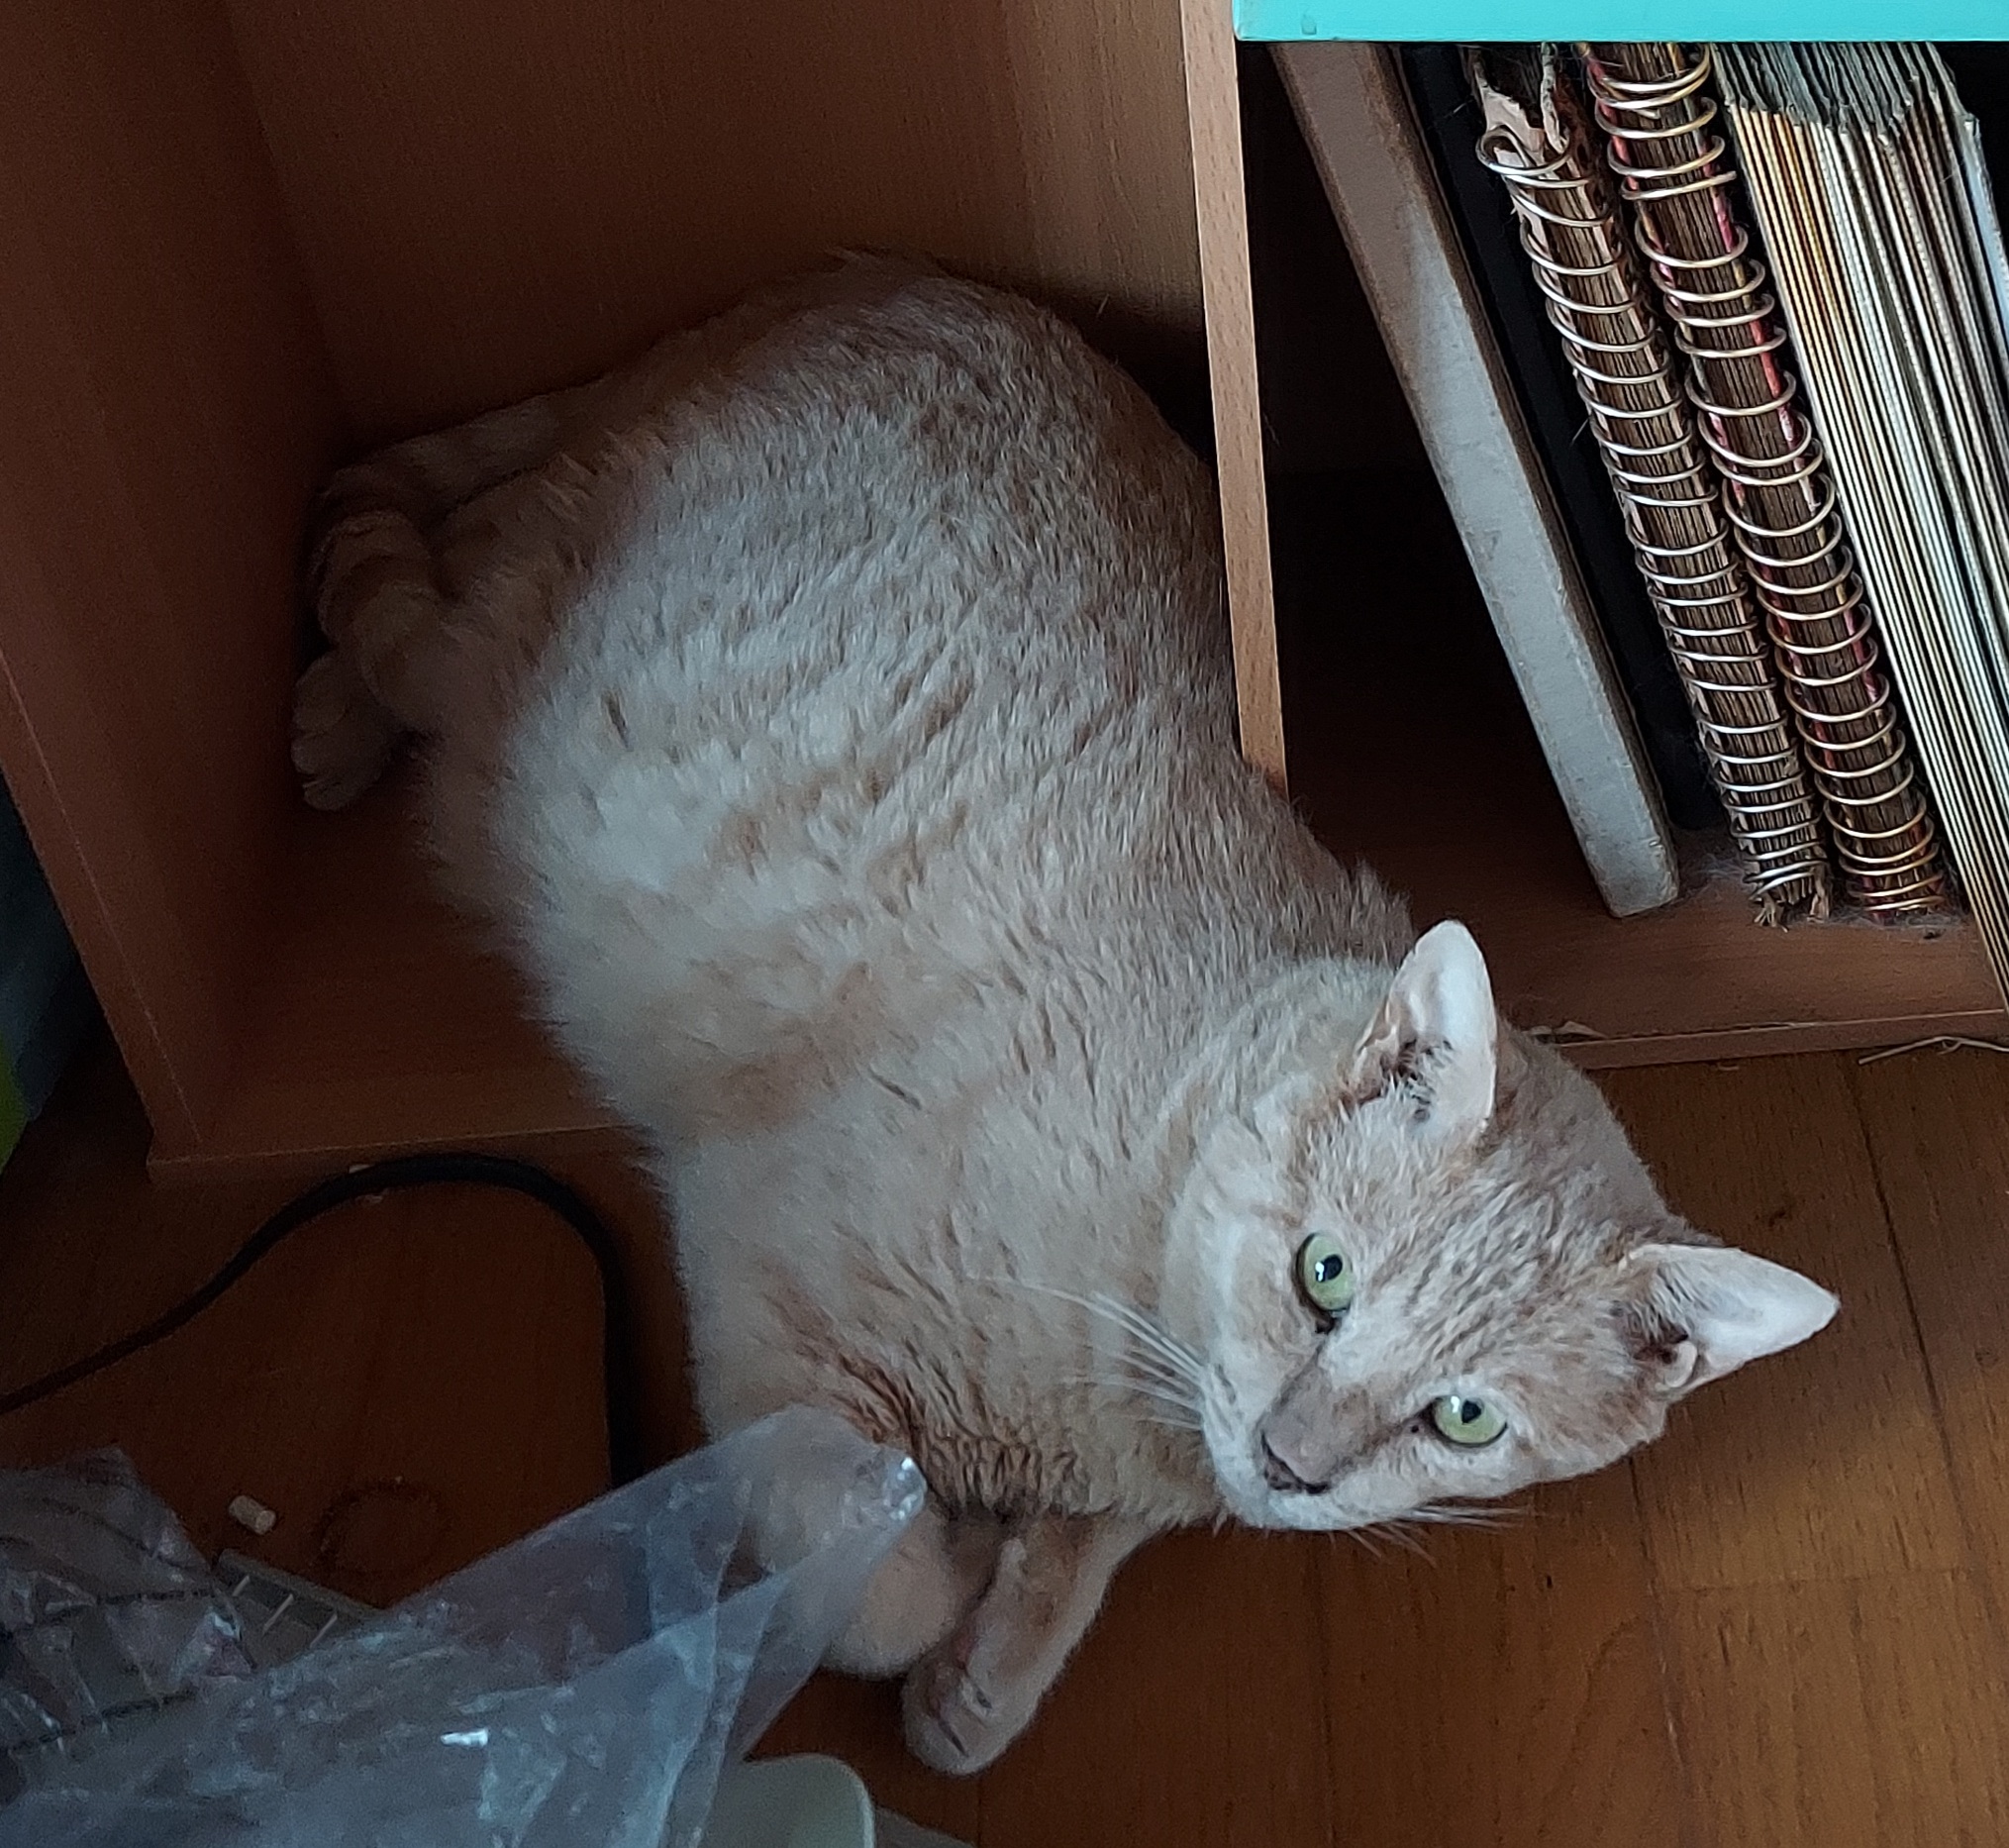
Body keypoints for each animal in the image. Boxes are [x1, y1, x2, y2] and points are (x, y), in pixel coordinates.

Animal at [292, 254, 1838, 1775]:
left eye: (1464, 1418)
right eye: (1324, 1275)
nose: (1294, 1462)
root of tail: (879, 277)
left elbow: (1066, 1576)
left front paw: (990, 1666)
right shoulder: (765, 1329)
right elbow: (880, 1591)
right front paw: (955, 1579)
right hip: (509, 664)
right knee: (431, 579)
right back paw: (332, 708)